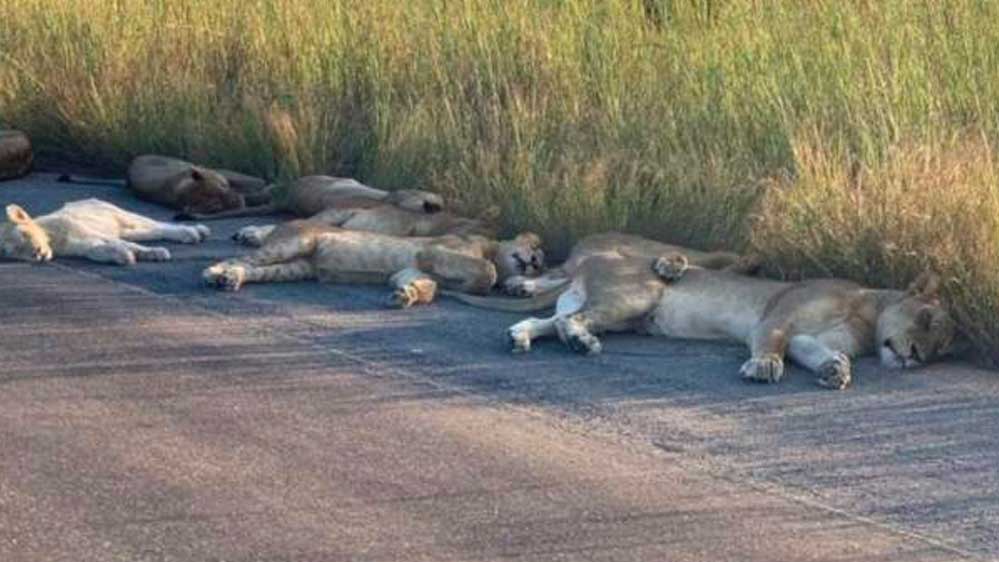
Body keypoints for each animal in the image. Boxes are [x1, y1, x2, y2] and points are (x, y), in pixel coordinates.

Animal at [0, 199, 211, 264]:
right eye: (16, 251)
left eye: (25, 234)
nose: (37, 254)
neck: (53, 240)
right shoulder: (84, 246)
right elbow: (98, 250)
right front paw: (122, 256)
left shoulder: (91, 233)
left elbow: (125, 244)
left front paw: (154, 253)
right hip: (127, 229)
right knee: (152, 231)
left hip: (122, 215)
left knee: (159, 224)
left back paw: (195, 232)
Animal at [488, 249, 956, 390]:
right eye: (925, 317)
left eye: (941, 350)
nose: (916, 356)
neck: (866, 312)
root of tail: (588, 261)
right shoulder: (777, 317)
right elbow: (770, 343)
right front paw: (764, 366)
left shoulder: (807, 337)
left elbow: (817, 352)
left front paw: (835, 370)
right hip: (636, 296)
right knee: (570, 322)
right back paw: (581, 343)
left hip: (613, 312)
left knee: (550, 321)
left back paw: (519, 338)